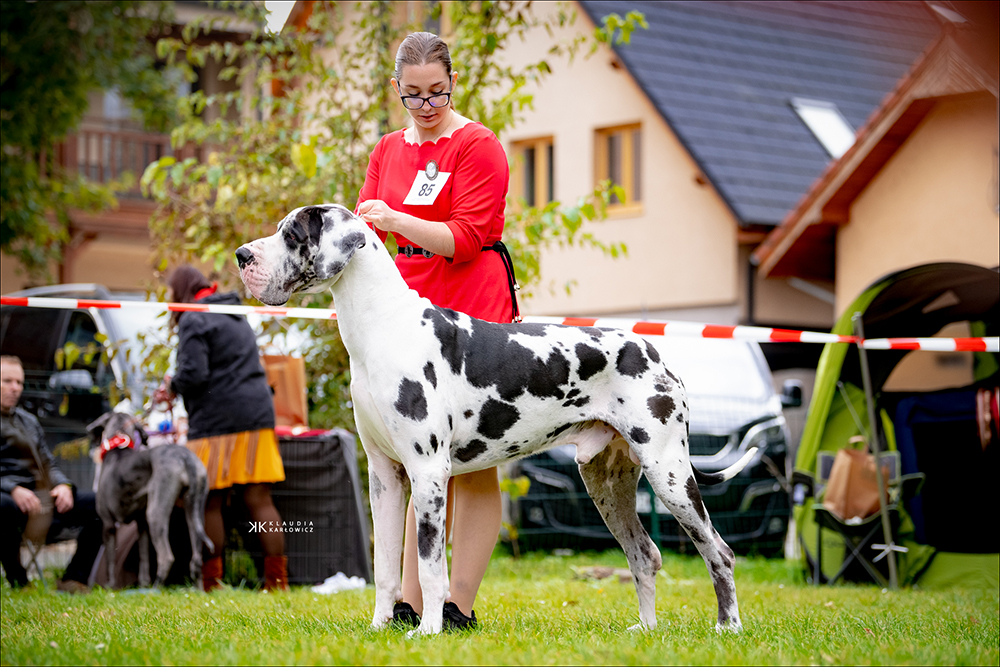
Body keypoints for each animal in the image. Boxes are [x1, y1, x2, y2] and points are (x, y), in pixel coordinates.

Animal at [87, 411, 213, 589]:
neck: (119, 446)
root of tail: (185, 456)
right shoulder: (142, 525)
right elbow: (144, 559)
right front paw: (142, 585)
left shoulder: (108, 523)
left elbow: (110, 561)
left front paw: (110, 587)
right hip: (195, 511)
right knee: (196, 559)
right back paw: (197, 591)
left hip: (155, 514)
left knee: (167, 557)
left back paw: (156, 589)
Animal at [236, 204, 754, 634]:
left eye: (291, 233)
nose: (242, 255)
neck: (384, 326)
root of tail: (655, 351)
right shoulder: (383, 476)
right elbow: (385, 567)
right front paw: (380, 628)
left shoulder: (428, 472)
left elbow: (430, 566)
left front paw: (427, 632)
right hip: (607, 481)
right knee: (644, 555)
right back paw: (645, 630)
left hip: (670, 474)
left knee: (720, 552)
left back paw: (728, 627)